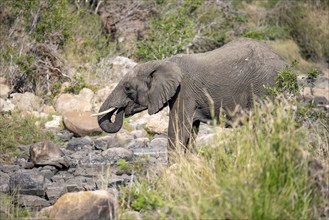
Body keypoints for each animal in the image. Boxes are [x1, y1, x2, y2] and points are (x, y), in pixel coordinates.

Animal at [93, 38, 288, 151]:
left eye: (127, 88)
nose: (120, 110)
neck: (162, 62)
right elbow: (191, 133)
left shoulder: (184, 91)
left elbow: (177, 130)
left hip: (264, 87)